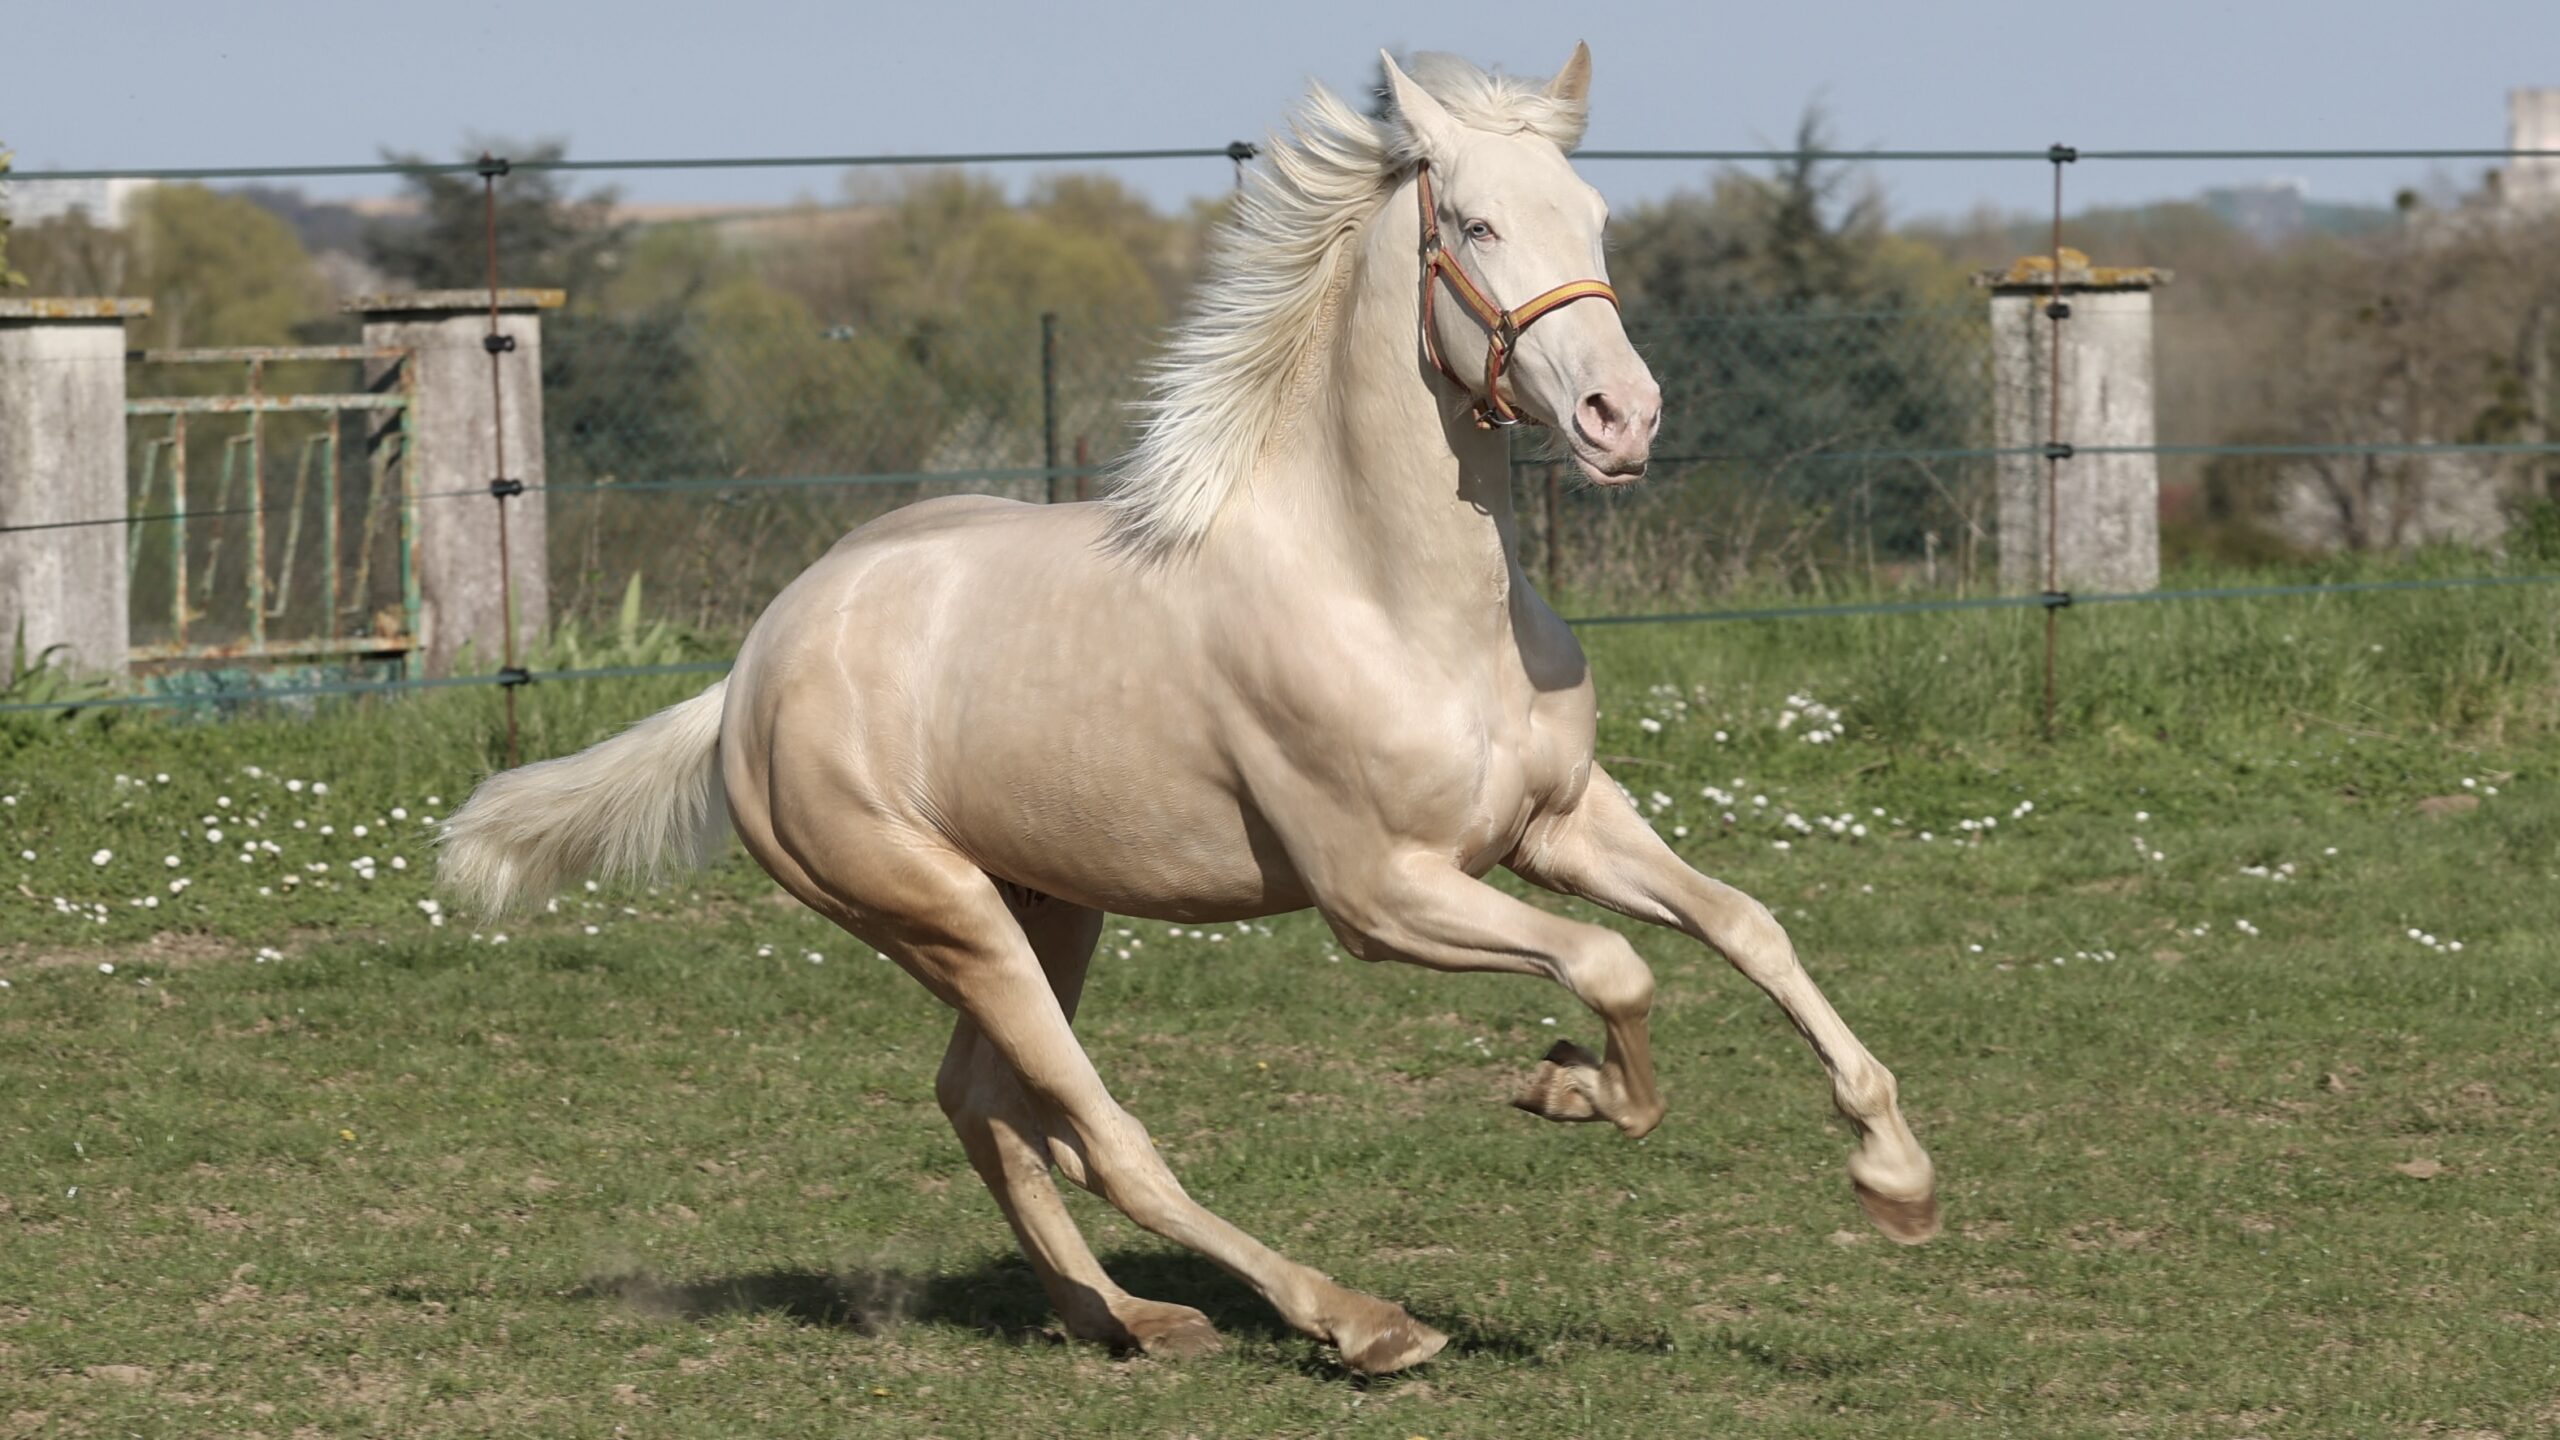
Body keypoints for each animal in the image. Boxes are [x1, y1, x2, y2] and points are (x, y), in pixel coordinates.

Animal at [450, 44, 1945, 1363]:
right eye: (1472, 221)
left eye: (1593, 216)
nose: (1619, 421)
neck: (1392, 595)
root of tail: (757, 664)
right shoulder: (1382, 896)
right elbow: (1611, 966)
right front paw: (1572, 1087)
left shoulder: (1558, 824)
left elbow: (1745, 925)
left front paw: (1895, 1176)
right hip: (938, 913)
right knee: (1104, 1139)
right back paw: (1355, 1323)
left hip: (1046, 909)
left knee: (985, 1103)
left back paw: (1126, 1320)